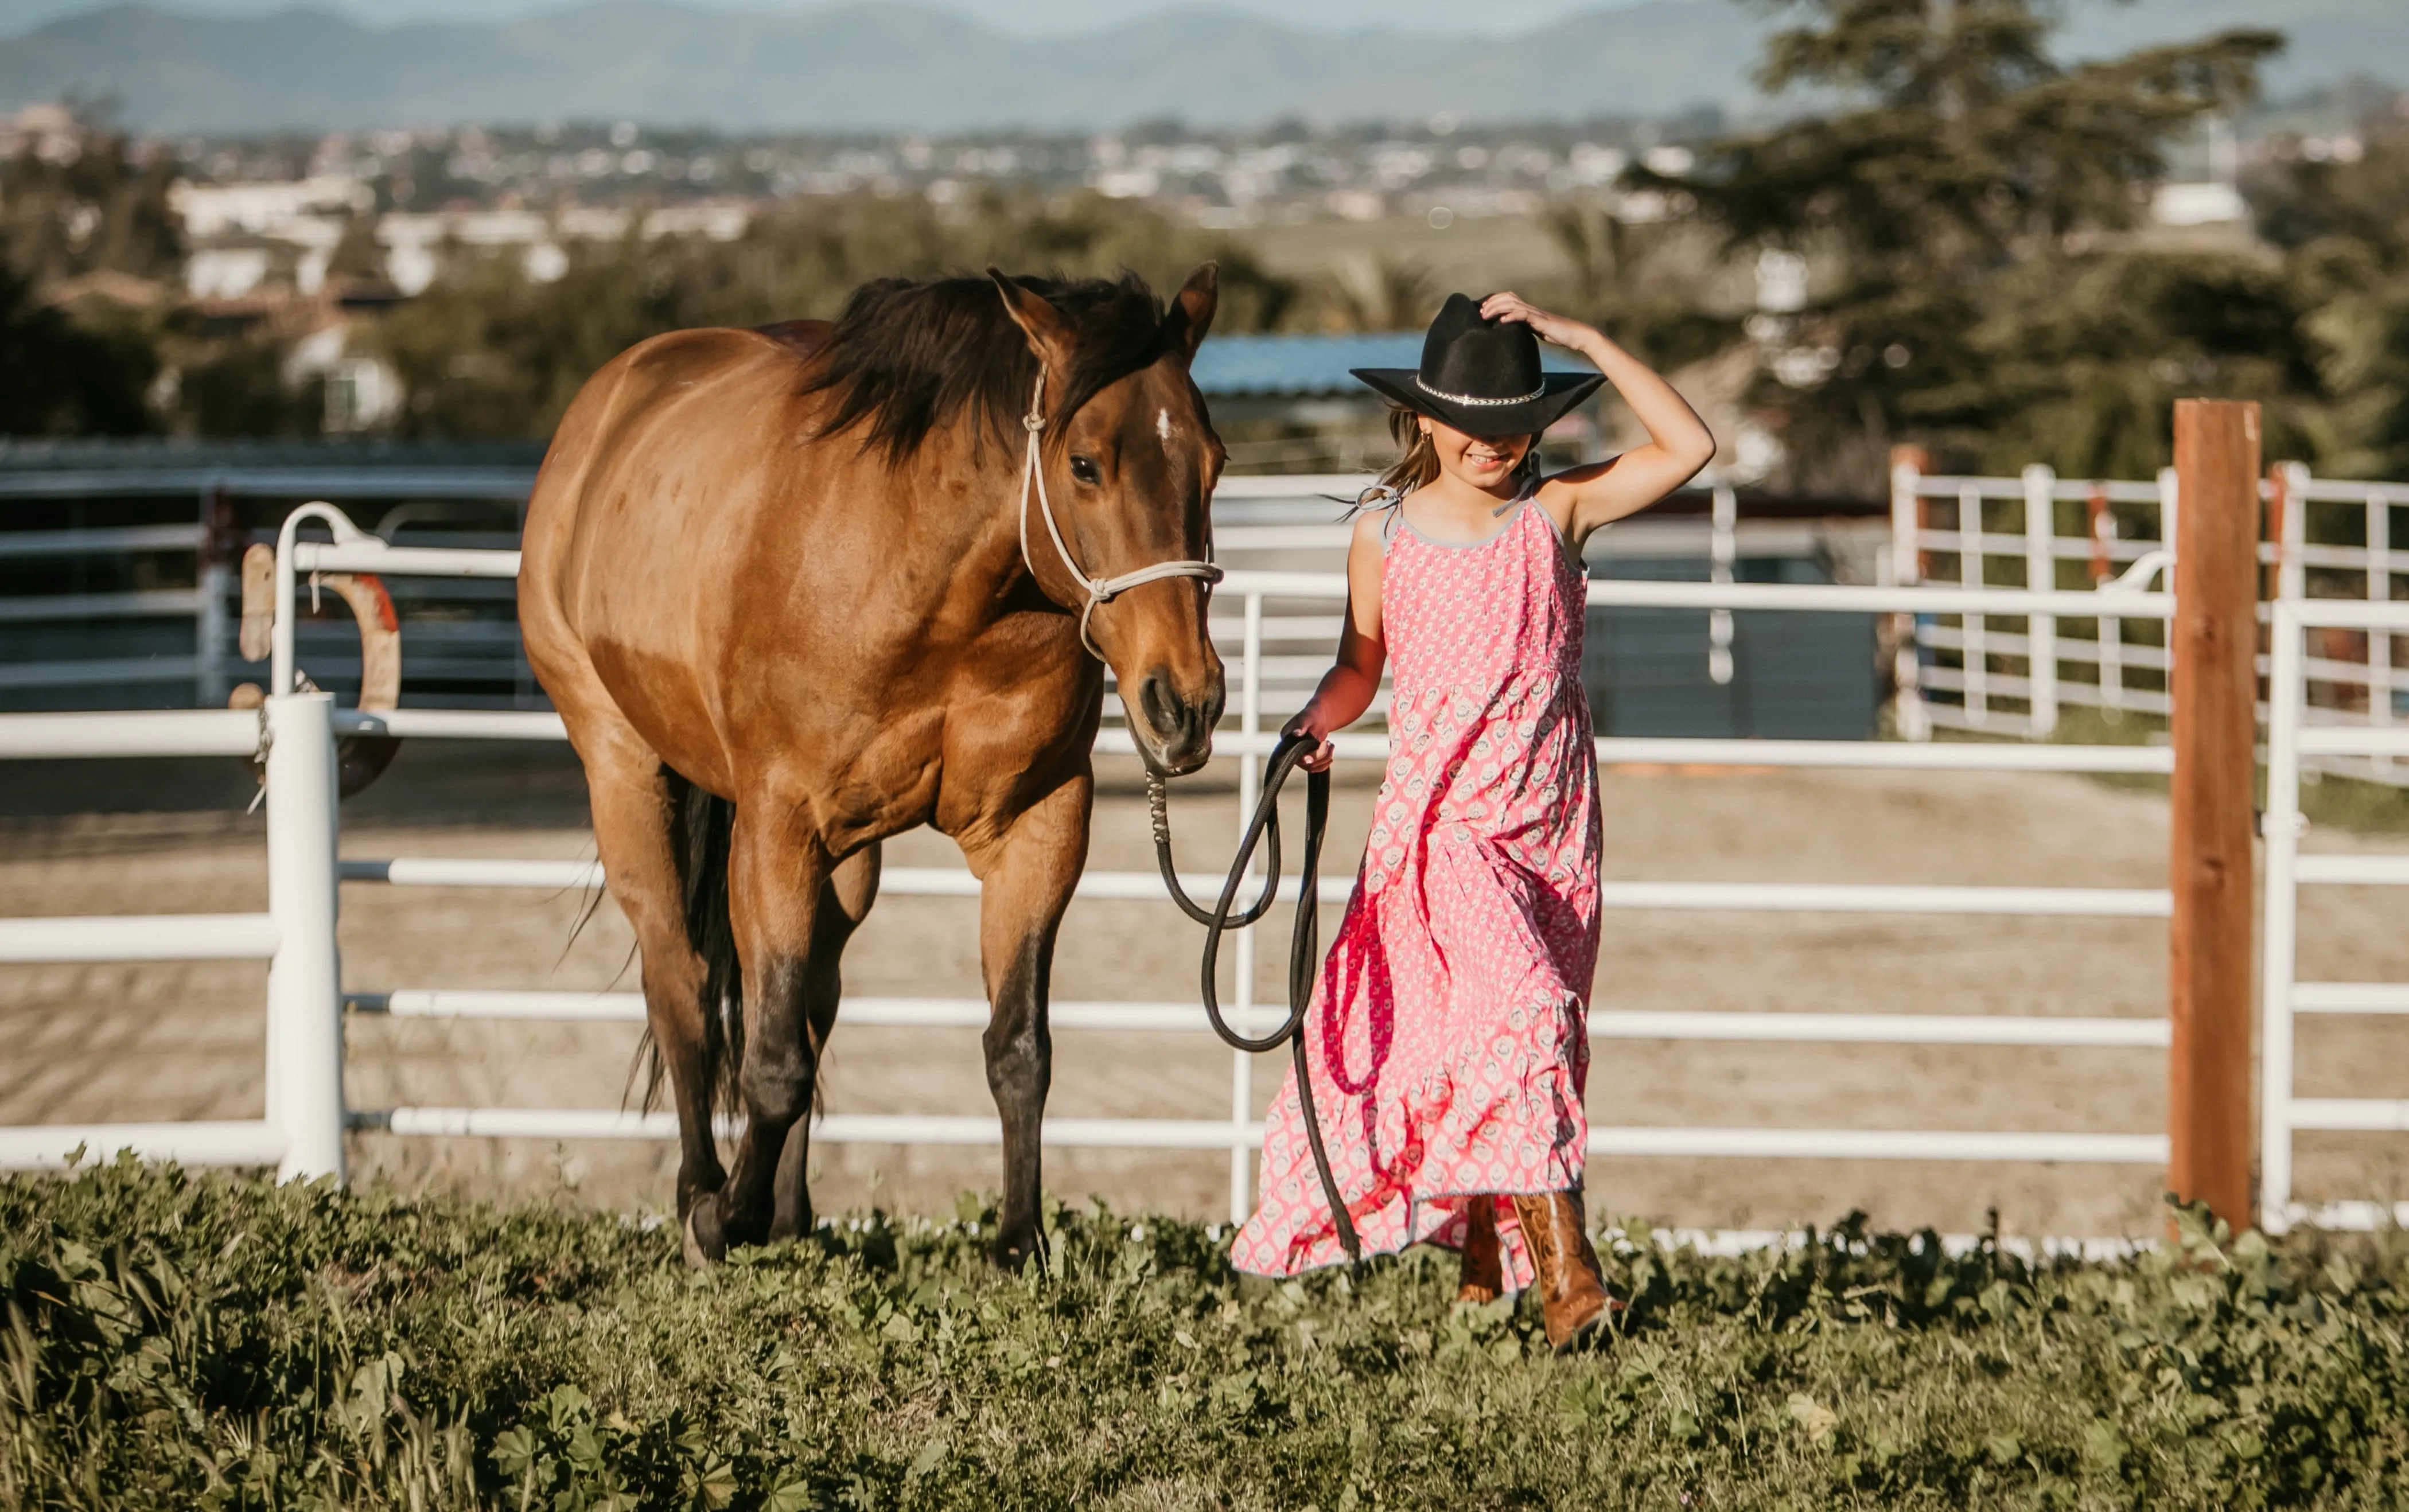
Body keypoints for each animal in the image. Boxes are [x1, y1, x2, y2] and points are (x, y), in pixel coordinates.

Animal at [513, 262, 1224, 1261]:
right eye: (1085, 464)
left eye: (1213, 461)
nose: (1185, 703)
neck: (932, 593)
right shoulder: (776, 830)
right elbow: (771, 1060)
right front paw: (722, 1215)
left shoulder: (1039, 826)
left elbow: (1017, 1048)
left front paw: (1018, 1248)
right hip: (624, 771)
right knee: (681, 982)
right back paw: (703, 1195)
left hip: (847, 862)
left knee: (813, 993)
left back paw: (792, 1215)